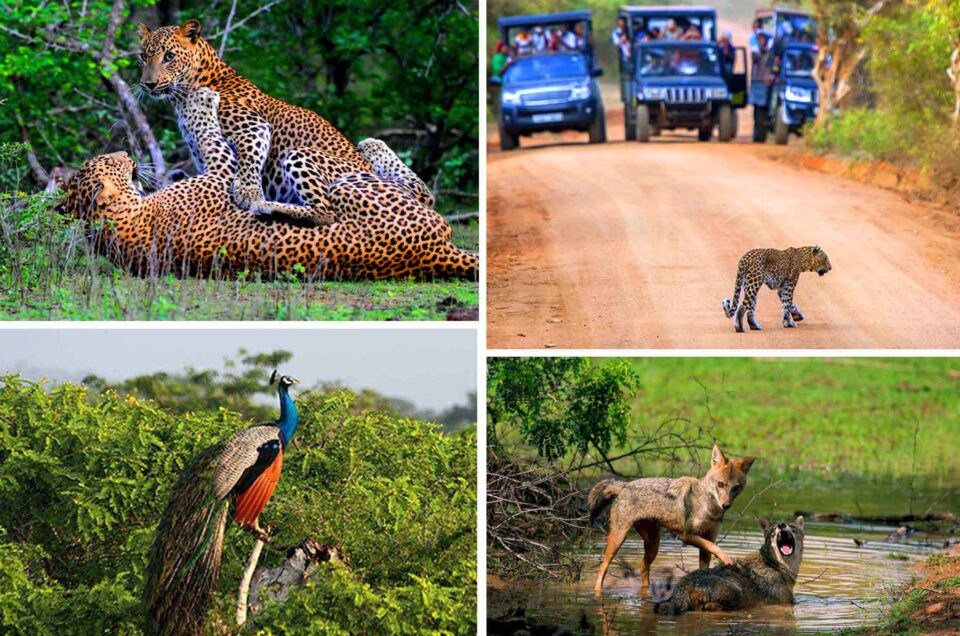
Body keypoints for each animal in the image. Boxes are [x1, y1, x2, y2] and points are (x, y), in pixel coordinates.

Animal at [54, 87, 480, 280]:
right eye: (113, 160)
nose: (127, 153)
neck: (118, 222)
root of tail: (433, 252)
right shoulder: (220, 174)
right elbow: (207, 134)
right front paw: (201, 100)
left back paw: (369, 143)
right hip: (342, 179)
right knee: (331, 210)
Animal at [137, 19, 376, 224]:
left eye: (169, 56)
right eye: (143, 56)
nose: (148, 84)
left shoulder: (252, 127)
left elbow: (248, 158)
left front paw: (248, 192)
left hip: (301, 154)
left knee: (326, 212)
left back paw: (269, 207)